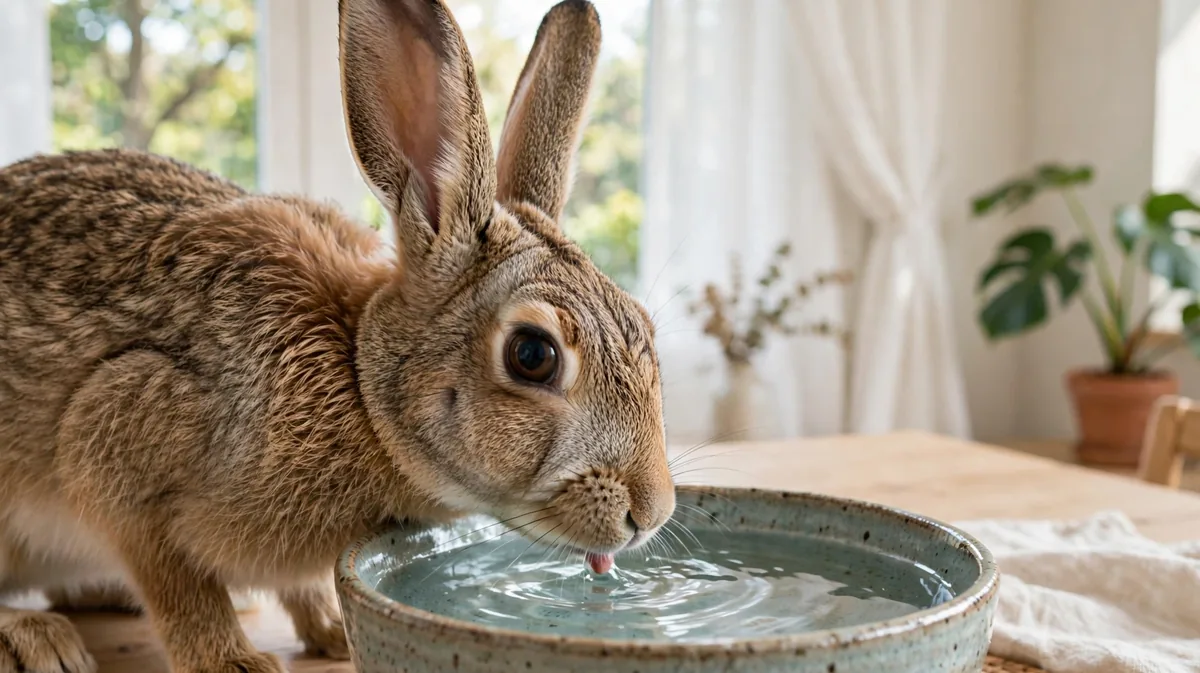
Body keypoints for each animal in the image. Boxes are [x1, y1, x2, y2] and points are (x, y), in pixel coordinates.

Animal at [0, 0, 676, 671]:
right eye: (532, 355)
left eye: (642, 326)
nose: (651, 513)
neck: (358, 382)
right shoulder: (113, 440)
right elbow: (178, 585)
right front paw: (233, 661)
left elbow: (291, 585)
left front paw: (328, 628)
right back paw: (37, 637)